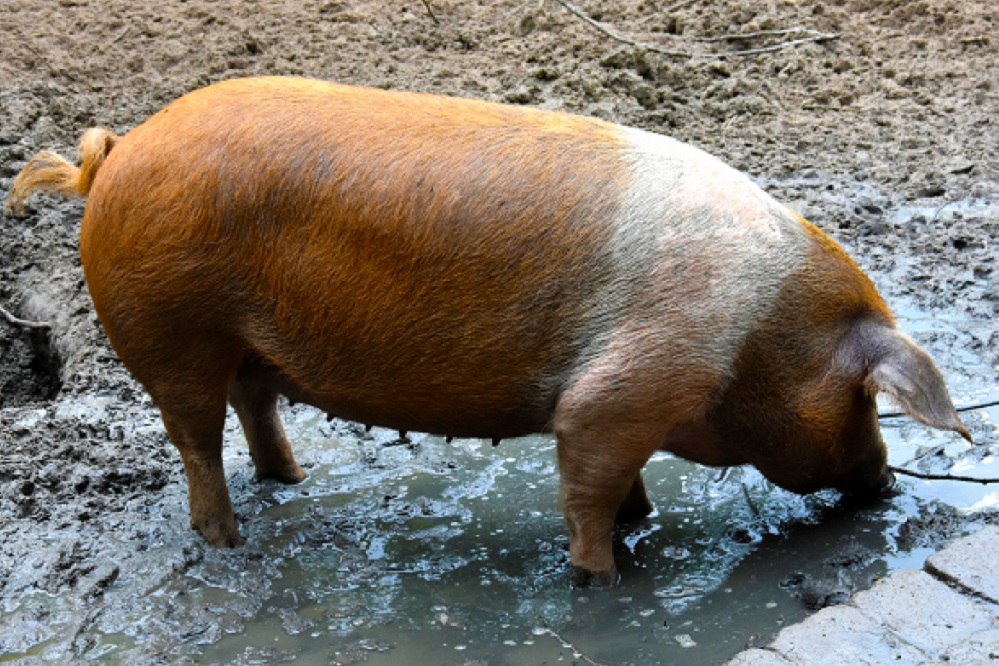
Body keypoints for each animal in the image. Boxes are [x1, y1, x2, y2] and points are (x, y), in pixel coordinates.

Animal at [7, 78, 968, 584]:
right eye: (866, 403)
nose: (884, 481)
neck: (759, 328)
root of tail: (119, 153)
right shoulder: (627, 383)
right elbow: (587, 486)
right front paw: (600, 581)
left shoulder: (628, 404)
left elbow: (618, 486)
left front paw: (640, 525)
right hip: (171, 334)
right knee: (196, 441)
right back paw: (230, 542)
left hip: (238, 342)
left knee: (255, 408)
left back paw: (295, 480)